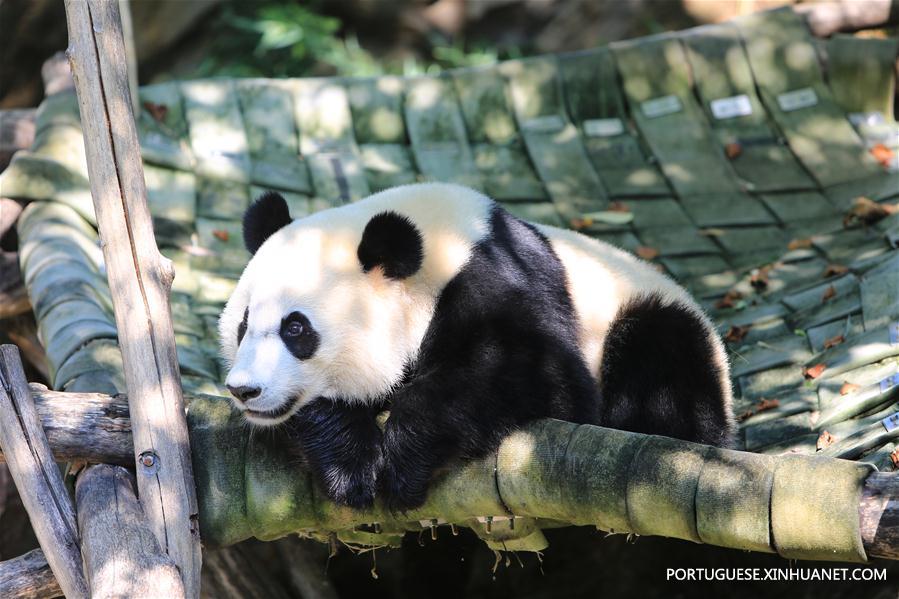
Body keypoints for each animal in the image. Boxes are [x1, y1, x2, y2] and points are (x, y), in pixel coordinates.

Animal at [219, 182, 734, 511]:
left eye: (296, 329)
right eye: (242, 326)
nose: (244, 390)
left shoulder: (498, 275)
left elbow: (542, 377)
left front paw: (405, 460)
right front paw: (349, 462)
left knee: (660, 363)